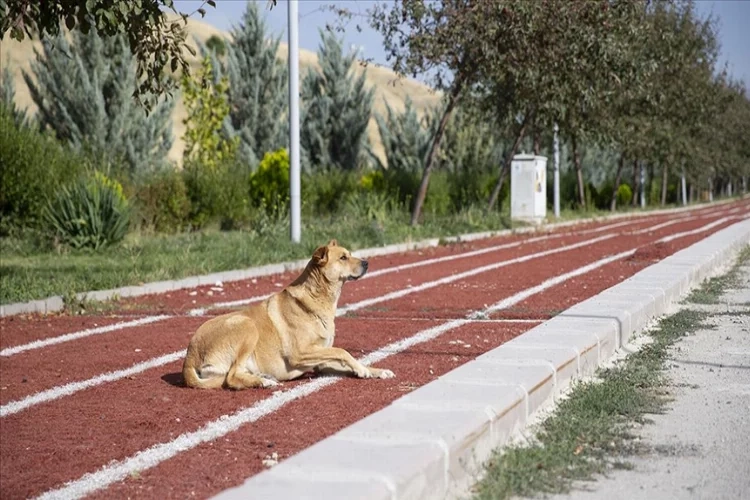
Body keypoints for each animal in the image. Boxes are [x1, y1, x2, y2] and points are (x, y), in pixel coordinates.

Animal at [182, 239, 396, 390]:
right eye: (343, 257)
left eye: (350, 254)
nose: (367, 263)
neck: (318, 298)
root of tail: (189, 356)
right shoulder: (300, 353)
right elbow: (343, 351)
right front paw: (362, 370)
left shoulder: (321, 360)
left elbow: (344, 358)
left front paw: (373, 371)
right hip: (247, 325)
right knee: (231, 377)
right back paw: (263, 382)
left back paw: (262, 377)